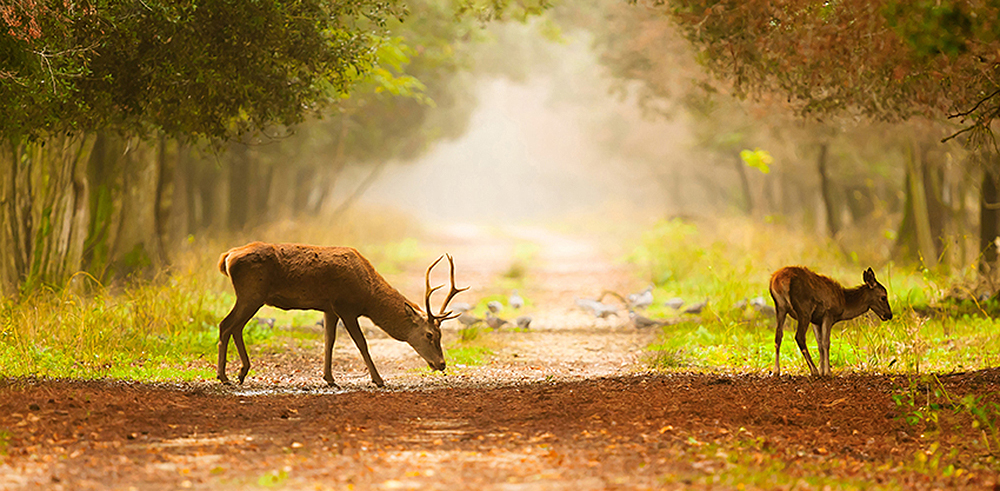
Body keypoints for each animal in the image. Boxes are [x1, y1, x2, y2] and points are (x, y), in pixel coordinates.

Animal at [217, 242, 466, 388]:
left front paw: (329, 379)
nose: (441, 364)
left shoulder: (330, 308)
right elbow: (361, 343)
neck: (368, 295)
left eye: (441, 335)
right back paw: (224, 376)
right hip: (251, 292)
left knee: (235, 326)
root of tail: (227, 257)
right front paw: (378, 380)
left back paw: (241, 373)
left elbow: (329, 341)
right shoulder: (346, 306)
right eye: (430, 335)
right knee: (226, 325)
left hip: (251, 296)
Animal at [768, 270, 896, 376]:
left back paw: (776, 371)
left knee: (778, 336)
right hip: (804, 309)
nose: (889, 314)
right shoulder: (828, 315)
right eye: (883, 297)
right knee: (799, 336)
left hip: (780, 307)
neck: (844, 304)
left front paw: (822, 370)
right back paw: (813, 370)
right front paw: (827, 372)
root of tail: (778, 281)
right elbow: (826, 343)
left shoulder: (816, 320)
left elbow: (819, 344)